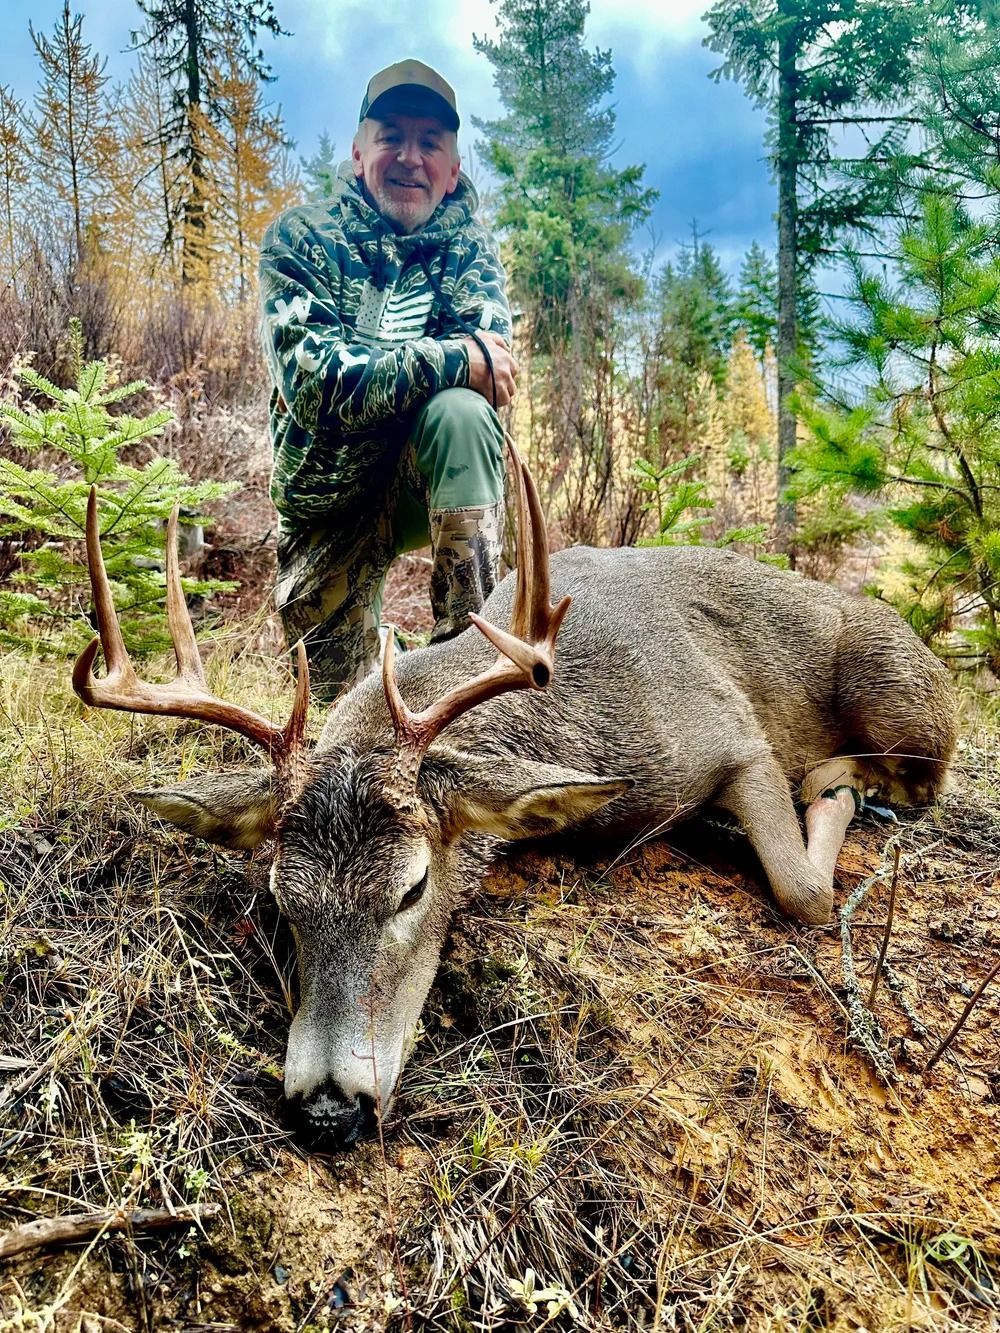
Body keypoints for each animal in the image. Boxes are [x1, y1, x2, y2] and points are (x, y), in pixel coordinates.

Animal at [73, 451, 957, 1150]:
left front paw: (825, 800)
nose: (328, 1108)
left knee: (926, 772)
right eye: (282, 897)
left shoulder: (730, 732)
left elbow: (805, 890)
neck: (574, 719)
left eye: (414, 887)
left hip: (894, 683)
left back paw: (841, 777)